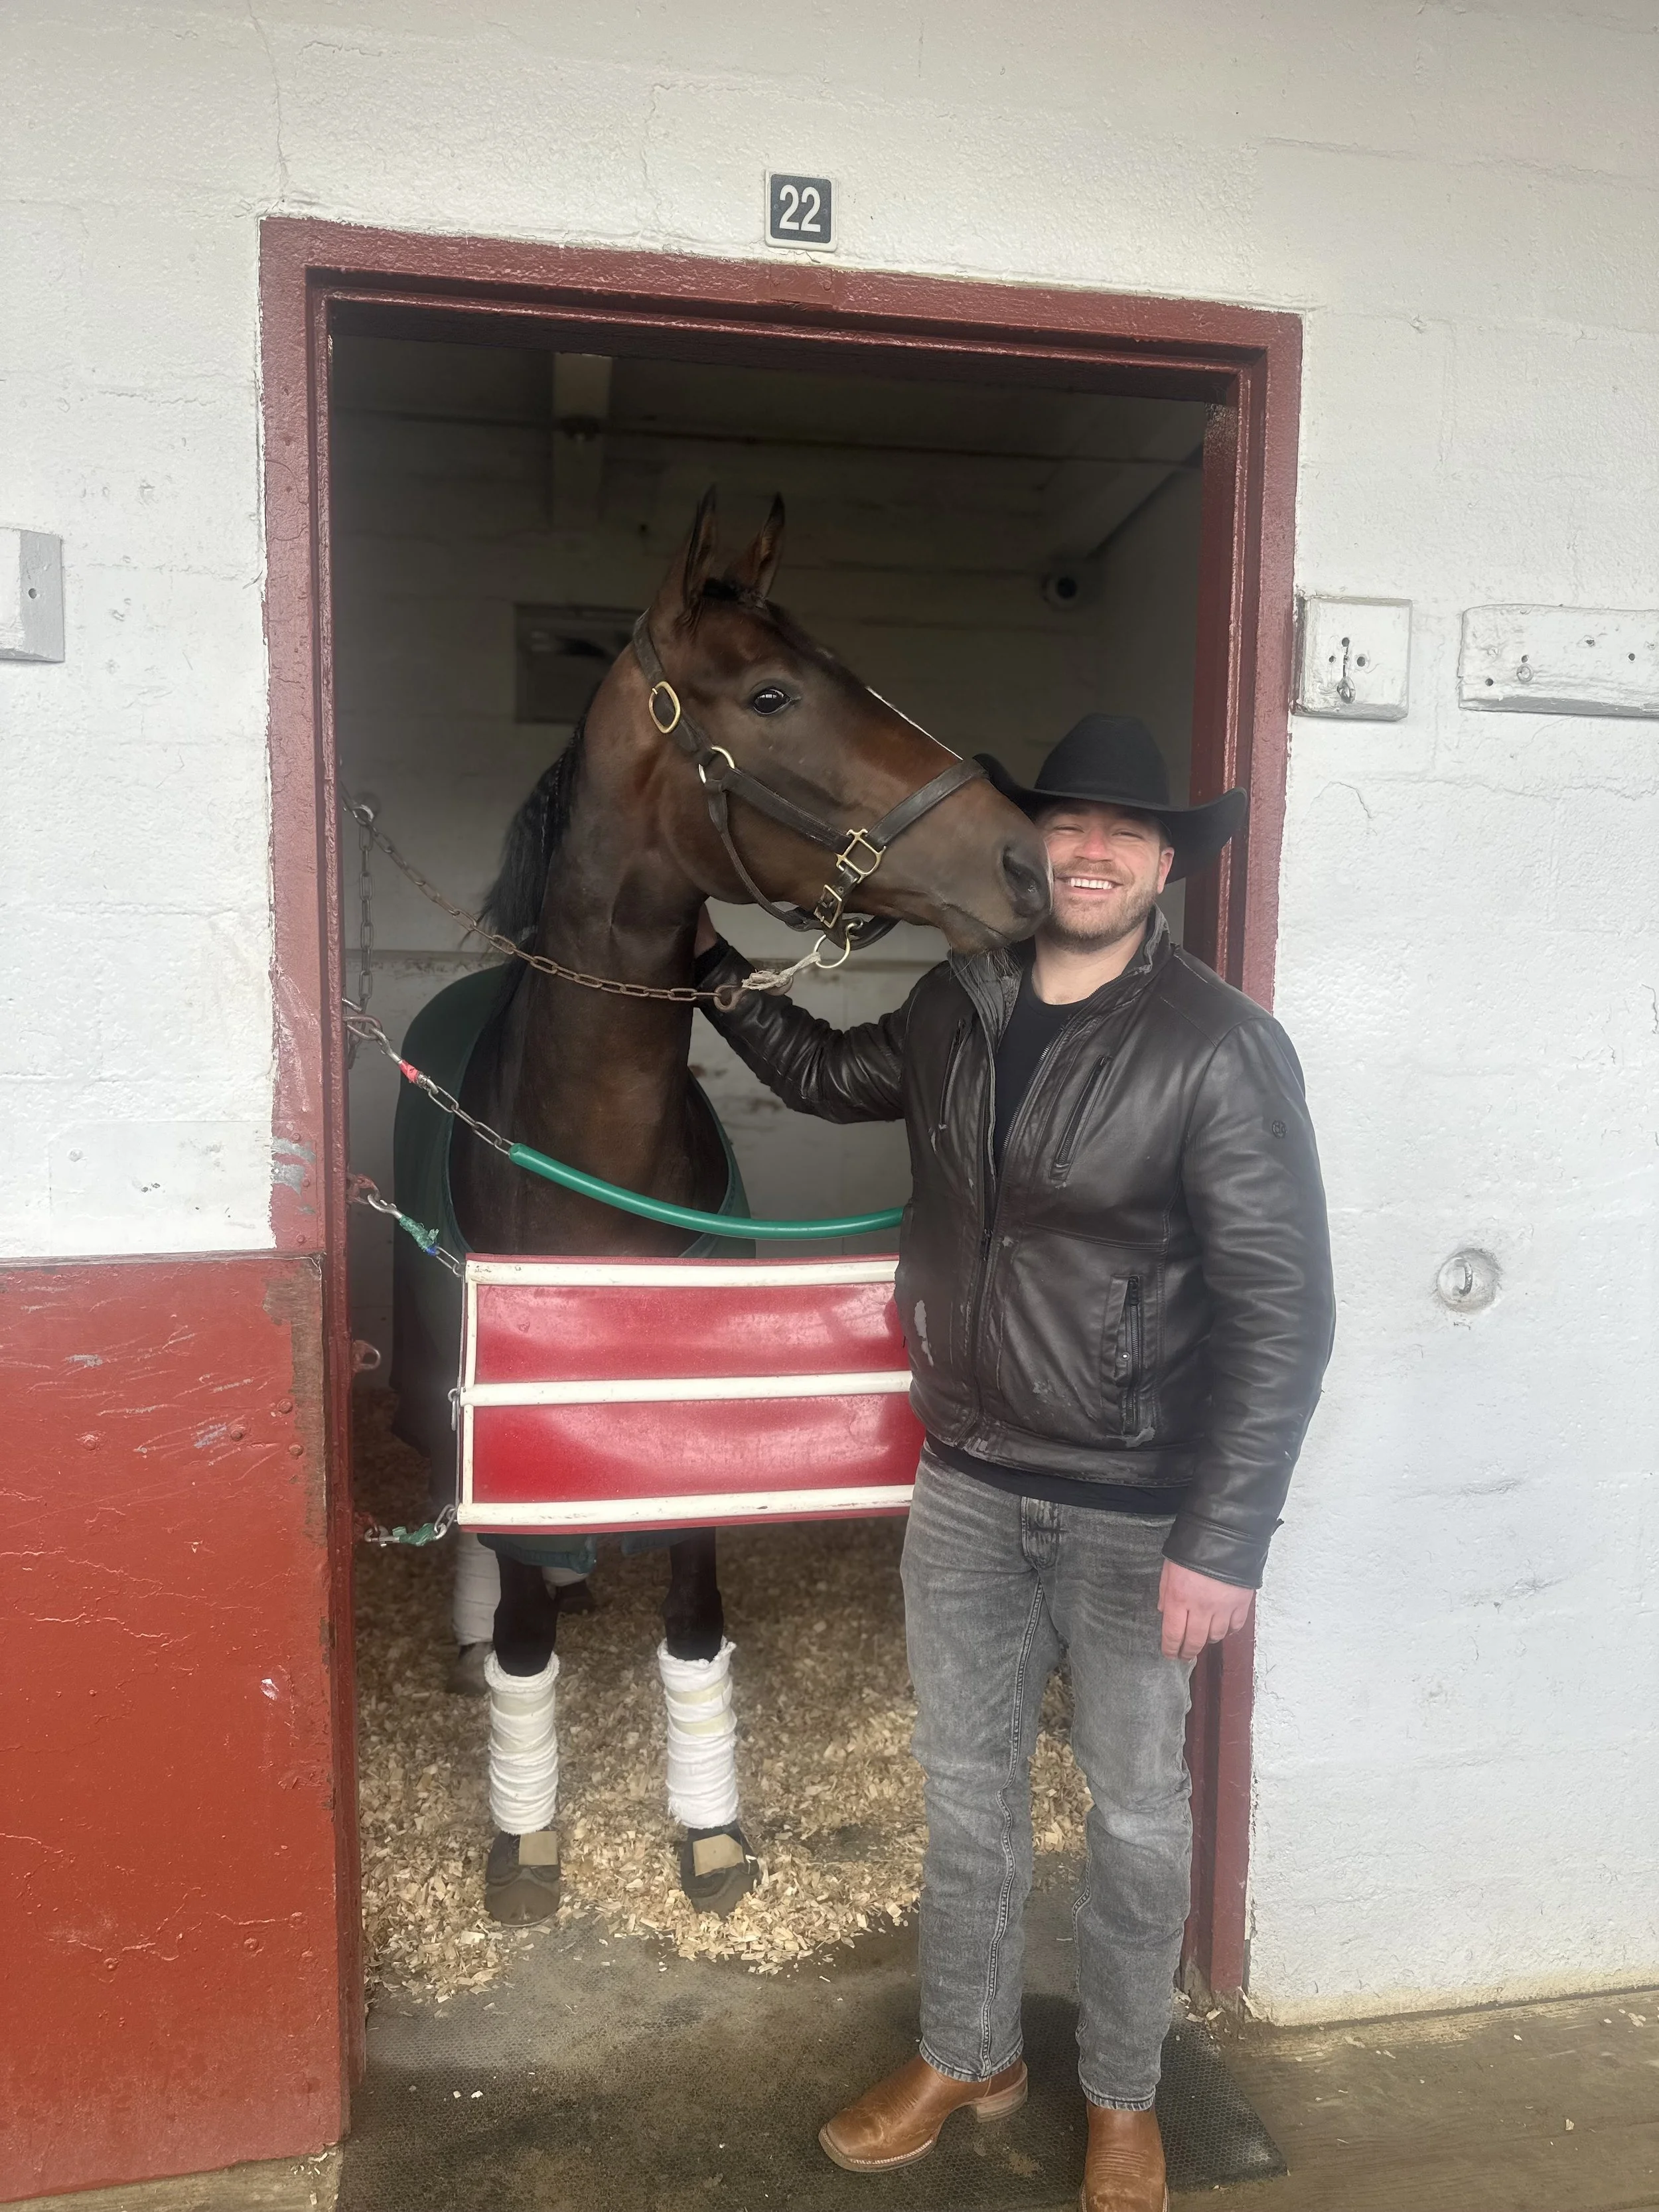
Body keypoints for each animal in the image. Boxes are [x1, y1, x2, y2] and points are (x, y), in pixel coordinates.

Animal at [388, 488, 1050, 1925]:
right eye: (771, 693)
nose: (1027, 862)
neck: (586, 1137)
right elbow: (524, 1630)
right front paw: (524, 1836)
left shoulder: (696, 1407)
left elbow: (694, 1619)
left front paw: (708, 1828)